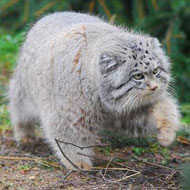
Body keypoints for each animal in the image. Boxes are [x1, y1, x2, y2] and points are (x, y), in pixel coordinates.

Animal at [8, 11, 180, 169]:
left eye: (156, 71)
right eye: (138, 76)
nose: (155, 87)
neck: (102, 100)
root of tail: (51, 14)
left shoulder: (132, 110)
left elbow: (164, 109)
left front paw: (167, 132)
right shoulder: (67, 115)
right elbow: (69, 139)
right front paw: (77, 162)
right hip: (24, 93)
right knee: (19, 111)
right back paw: (25, 134)